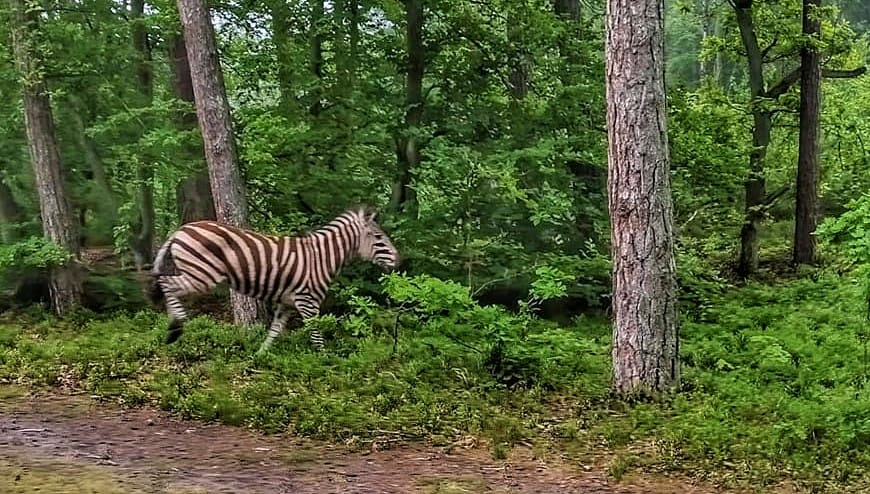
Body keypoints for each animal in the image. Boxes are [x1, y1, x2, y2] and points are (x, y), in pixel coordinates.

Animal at [146, 206, 400, 352]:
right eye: (378, 237)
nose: (399, 260)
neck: (322, 258)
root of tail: (180, 230)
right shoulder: (308, 301)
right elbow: (316, 335)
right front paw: (324, 362)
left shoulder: (286, 303)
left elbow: (274, 332)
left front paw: (259, 358)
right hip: (202, 274)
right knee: (168, 284)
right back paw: (176, 327)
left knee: (167, 284)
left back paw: (171, 328)